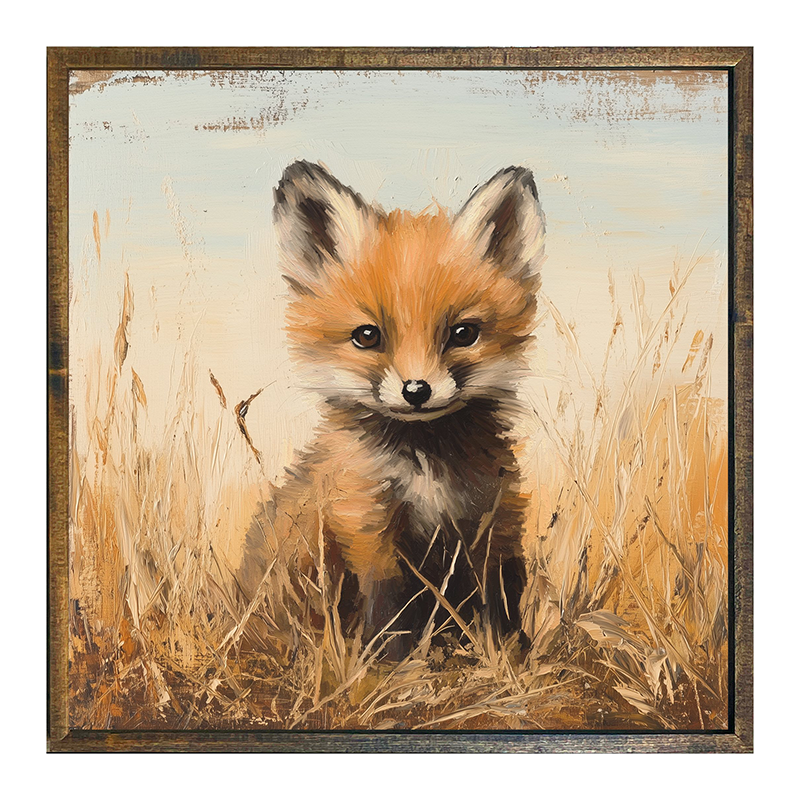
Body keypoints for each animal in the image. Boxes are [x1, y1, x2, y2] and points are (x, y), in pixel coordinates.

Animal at [237, 160, 545, 658]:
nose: (416, 390)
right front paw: (396, 665)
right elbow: (390, 607)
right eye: (368, 336)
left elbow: (500, 599)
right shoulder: (365, 524)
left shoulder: (492, 517)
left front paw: (508, 656)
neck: (426, 466)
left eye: (463, 333)